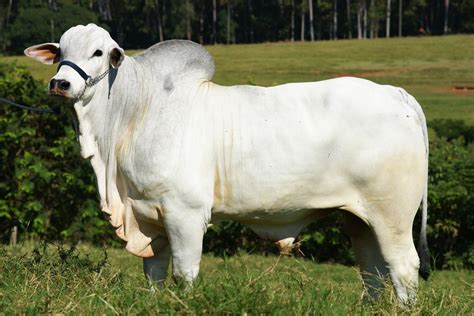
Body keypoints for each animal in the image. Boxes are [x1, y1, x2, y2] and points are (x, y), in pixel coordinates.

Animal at [25, 23, 430, 302]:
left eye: (97, 52)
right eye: (60, 51)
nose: (60, 84)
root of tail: (397, 94)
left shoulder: (185, 213)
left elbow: (184, 273)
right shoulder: (148, 216)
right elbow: (154, 273)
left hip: (392, 214)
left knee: (403, 268)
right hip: (359, 218)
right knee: (373, 271)